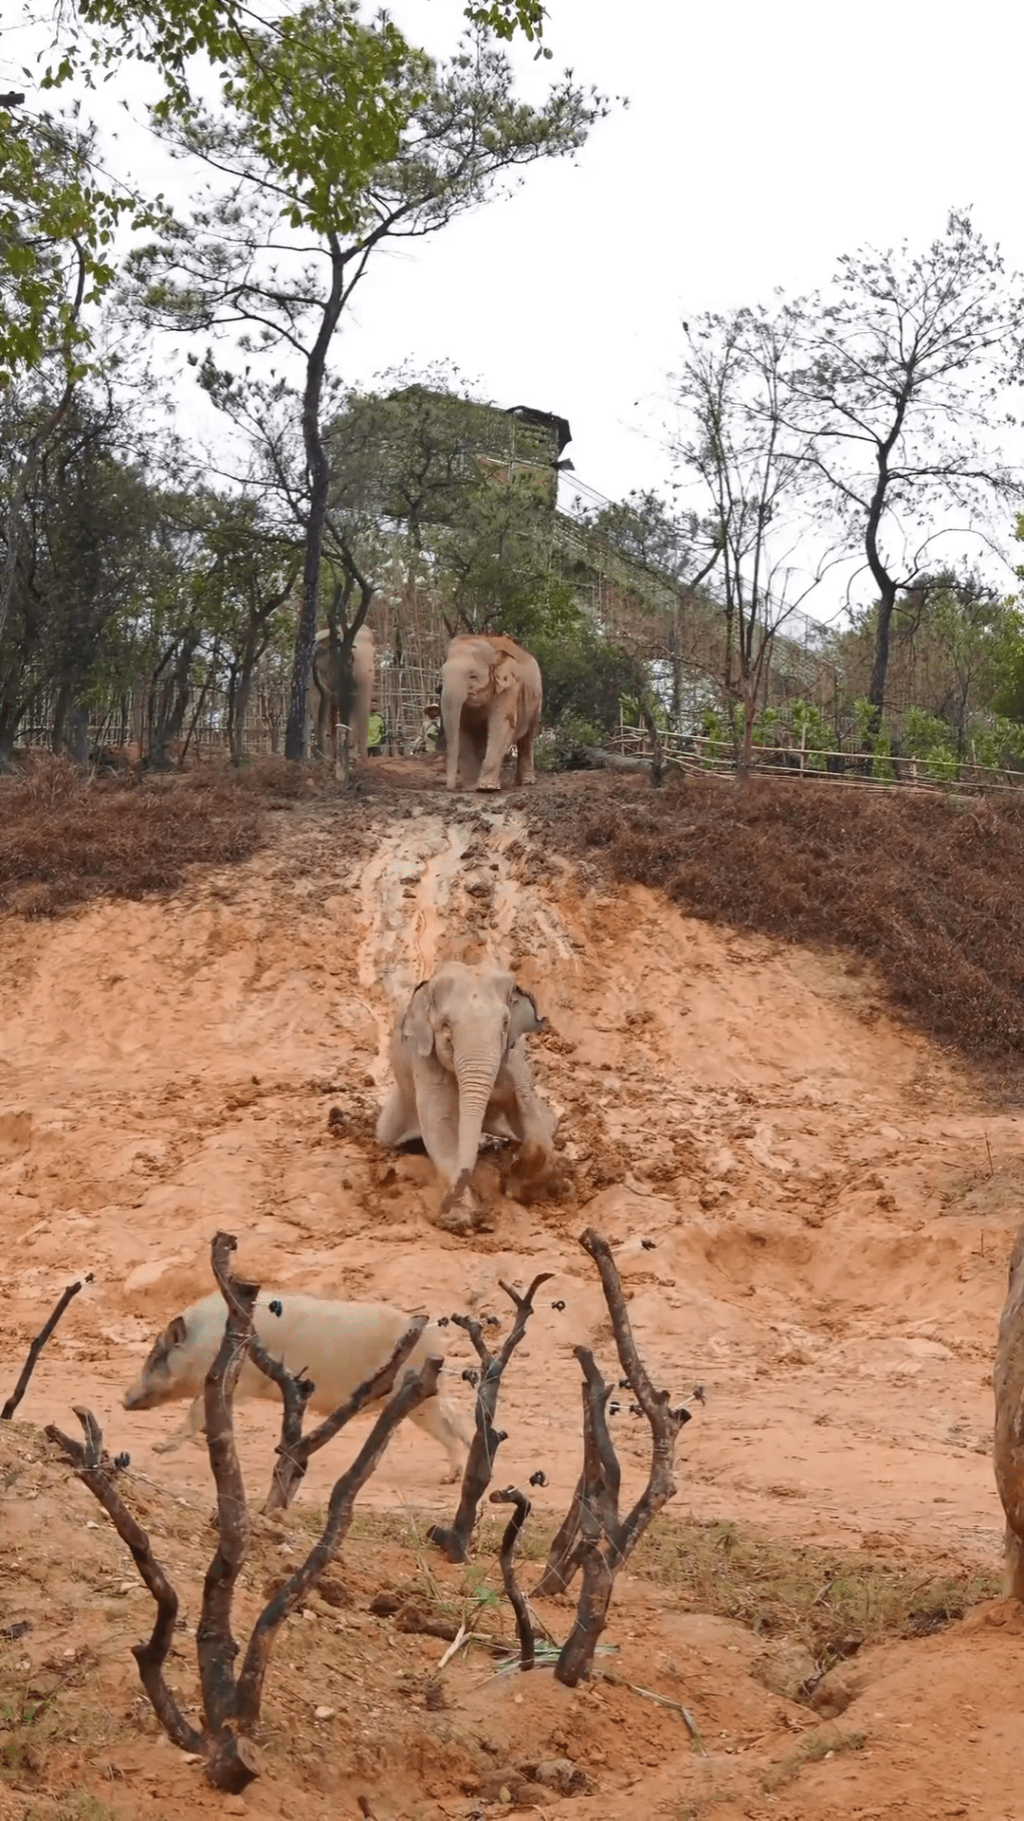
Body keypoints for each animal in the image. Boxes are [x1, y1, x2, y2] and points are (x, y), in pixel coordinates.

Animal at [122, 1296, 470, 1478]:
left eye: (156, 1355)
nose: (123, 1399)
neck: (202, 1343)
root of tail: (435, 1340)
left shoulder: (236, 1380)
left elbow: (196, 1412)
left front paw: (157, 1448)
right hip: (429, 1397)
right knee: (457, 1422)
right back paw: (451, 1477)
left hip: (418, 1396)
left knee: (452, 1426)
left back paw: (449, 1477)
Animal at [373, 961, 553, 1230]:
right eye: (446, 1025)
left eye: (505, 1023)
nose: (442, 1206)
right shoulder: (424, 1059)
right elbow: (440, 1127)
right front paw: (462, 1218)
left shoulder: (514, 1060)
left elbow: (531, 1117)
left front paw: (518, 1185)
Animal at [437, 633, 542, 790]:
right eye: (441, 675)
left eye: (473, 676)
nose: (450, 788)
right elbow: (464, 730)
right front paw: (471, 787)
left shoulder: (509, 689)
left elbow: (501, 725)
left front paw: (486, 788)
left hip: (536, 701)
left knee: (527, 737)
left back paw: (526, 782)